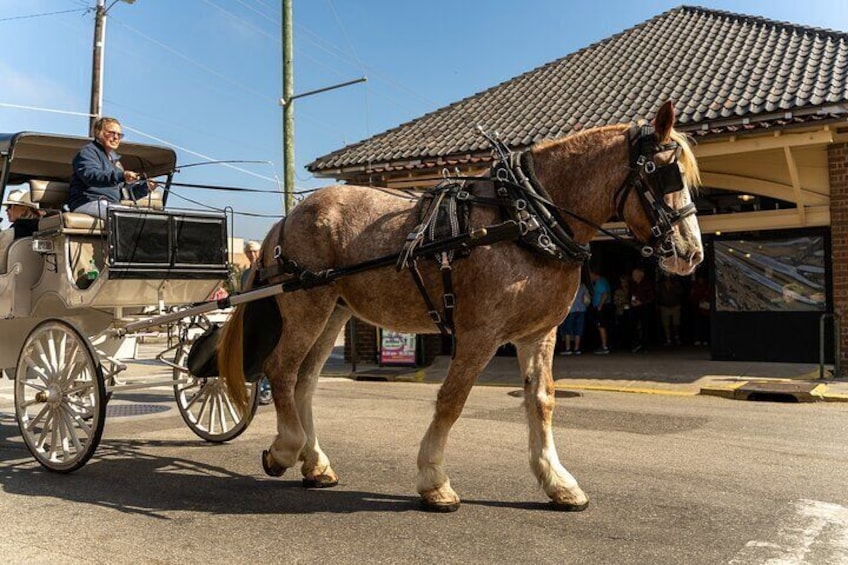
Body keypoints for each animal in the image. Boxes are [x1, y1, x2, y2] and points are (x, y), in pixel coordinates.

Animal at [219, 100, 704, 512]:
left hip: (335, 310)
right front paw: (434, 480)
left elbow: (541, 401)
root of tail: (288, 217)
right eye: (665, 174)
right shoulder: (480, 333)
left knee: (305, 382)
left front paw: (557, 482)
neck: (526, 218)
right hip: (306, 304)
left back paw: (315, 462)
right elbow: (452, 400)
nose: (691, 253)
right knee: (282, 371)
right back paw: (285, 449)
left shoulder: (539, 334)